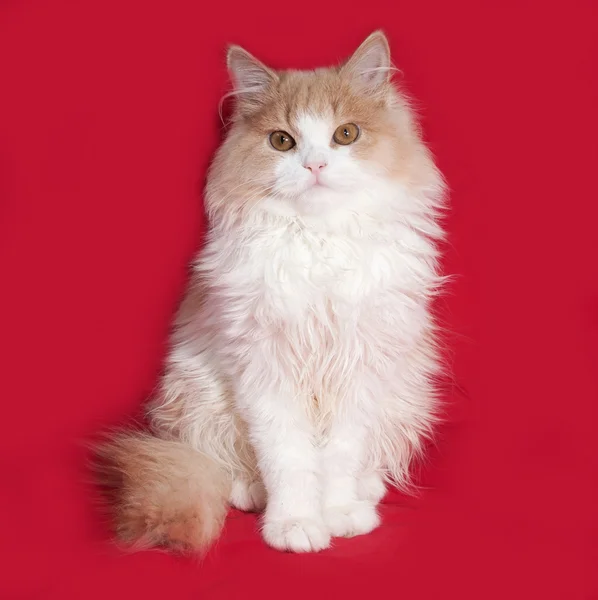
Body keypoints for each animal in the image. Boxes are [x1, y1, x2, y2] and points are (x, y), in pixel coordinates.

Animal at [98, 31, 446, 552]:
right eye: (282, 141)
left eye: (346, 134)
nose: (315, 164)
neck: (320, 240)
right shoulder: (266, 371)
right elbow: (289, 461)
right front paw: (295, 524)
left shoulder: (358, 370)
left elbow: (340, 458)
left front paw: (340, 514)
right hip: (198, 396)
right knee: (228, 464)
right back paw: (252, 493)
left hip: (405, 390)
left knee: (369, 461)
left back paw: (366, 491)